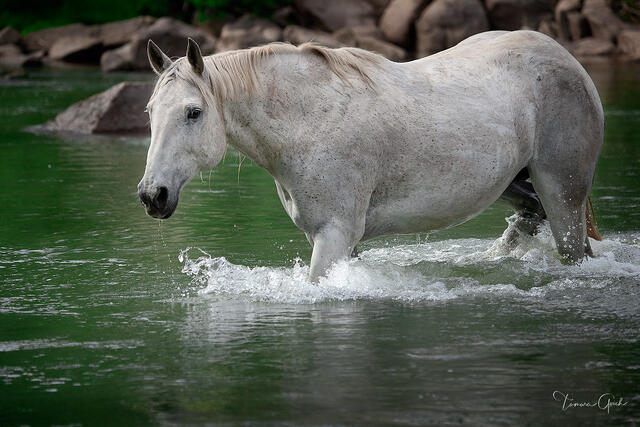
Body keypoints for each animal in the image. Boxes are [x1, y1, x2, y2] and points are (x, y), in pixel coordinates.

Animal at [137, 31, 603, 282]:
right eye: (150, 112)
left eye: (193, 112)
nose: (151, 194)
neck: (308, 122)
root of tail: (566, 58)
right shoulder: (339, 241)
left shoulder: (334, 235)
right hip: (512, 183)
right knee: (530, 218)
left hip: (563, 194)